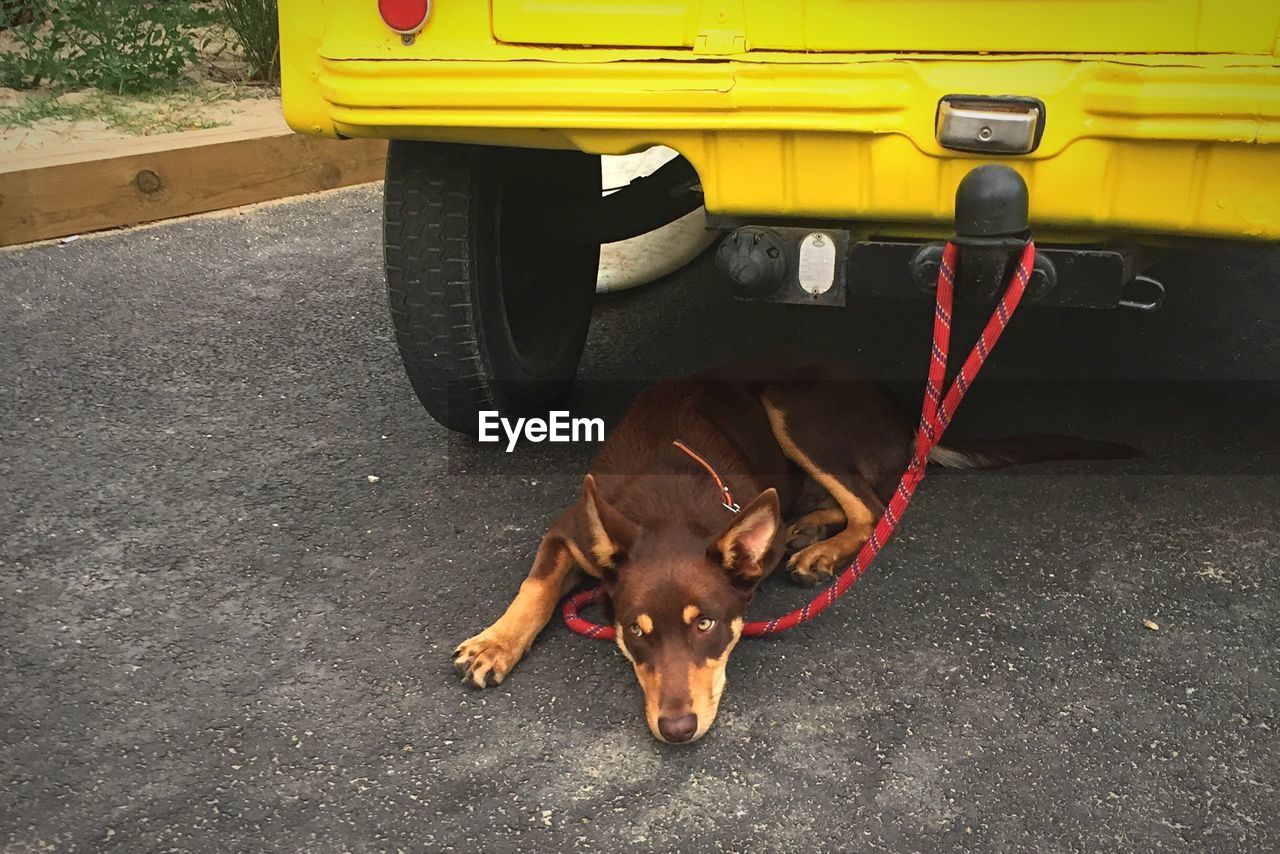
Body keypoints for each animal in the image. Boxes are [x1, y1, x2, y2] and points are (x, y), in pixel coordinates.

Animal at [455, 363, 1136, 742]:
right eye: (634, 632)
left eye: (707, 625)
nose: (676, 732)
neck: (667, 496)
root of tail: (904, 417)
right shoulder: (568, 530)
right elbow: (537, 586)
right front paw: (497, 642)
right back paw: (808, 531)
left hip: (791, 406)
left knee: (874, 500)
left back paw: (821, 549)